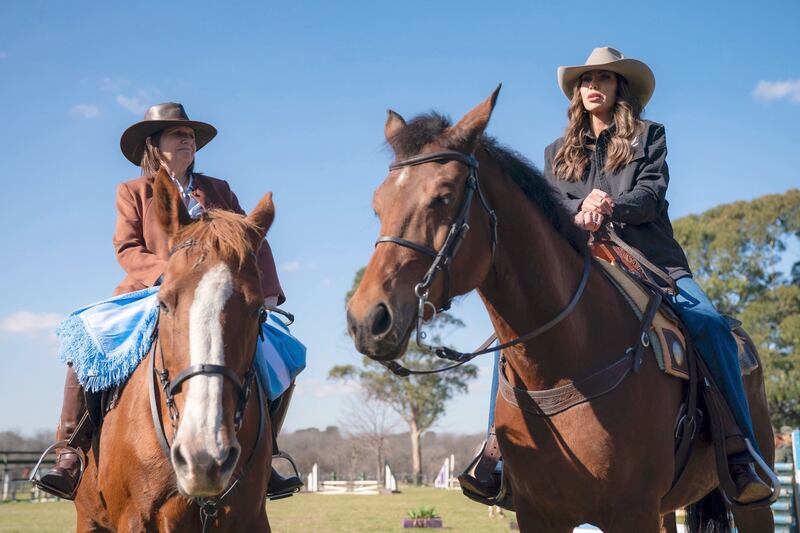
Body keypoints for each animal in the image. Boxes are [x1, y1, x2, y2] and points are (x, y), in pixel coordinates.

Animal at [346, 87, 775, 532]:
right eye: (378, 204)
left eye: (443, 196)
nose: (367, 319)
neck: (566, 362)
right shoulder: (538, 514)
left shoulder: (632, 511)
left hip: (750, 505)